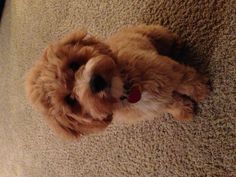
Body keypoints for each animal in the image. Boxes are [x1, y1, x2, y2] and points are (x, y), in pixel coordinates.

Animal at [25, 24, 209, 139]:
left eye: (74, 64)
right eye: (70, 100)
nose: (96, 82)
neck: (125, 88)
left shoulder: (169, 71)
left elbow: (188, 80)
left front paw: (202, 90)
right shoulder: (158, 104)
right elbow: (172, 103)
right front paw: (184, 110)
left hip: (154, 34)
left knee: (164, 37)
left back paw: (176, 45)